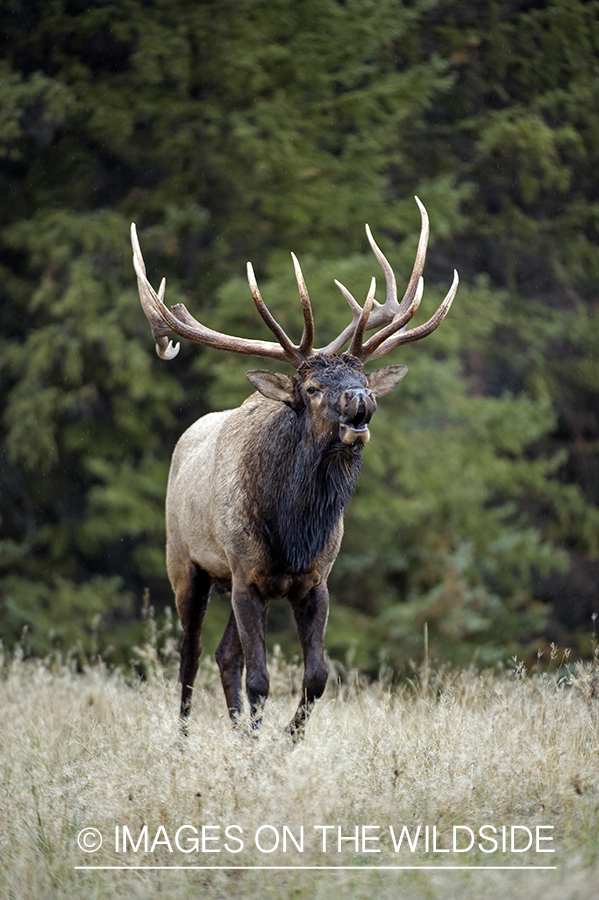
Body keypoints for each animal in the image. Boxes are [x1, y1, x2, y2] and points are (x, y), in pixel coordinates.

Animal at [131, 198, 458, 739]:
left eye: (361, 375)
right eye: (311, 388)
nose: (361, 400)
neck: (293, 529)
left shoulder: (314, 581)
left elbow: (317, 677)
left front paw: (284, 739)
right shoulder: (245, 574)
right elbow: (260, 679)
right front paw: (265, 741)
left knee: (223, 655)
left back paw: (239, 733)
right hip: (185, 562)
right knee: (190, 655)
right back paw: (183, 741)